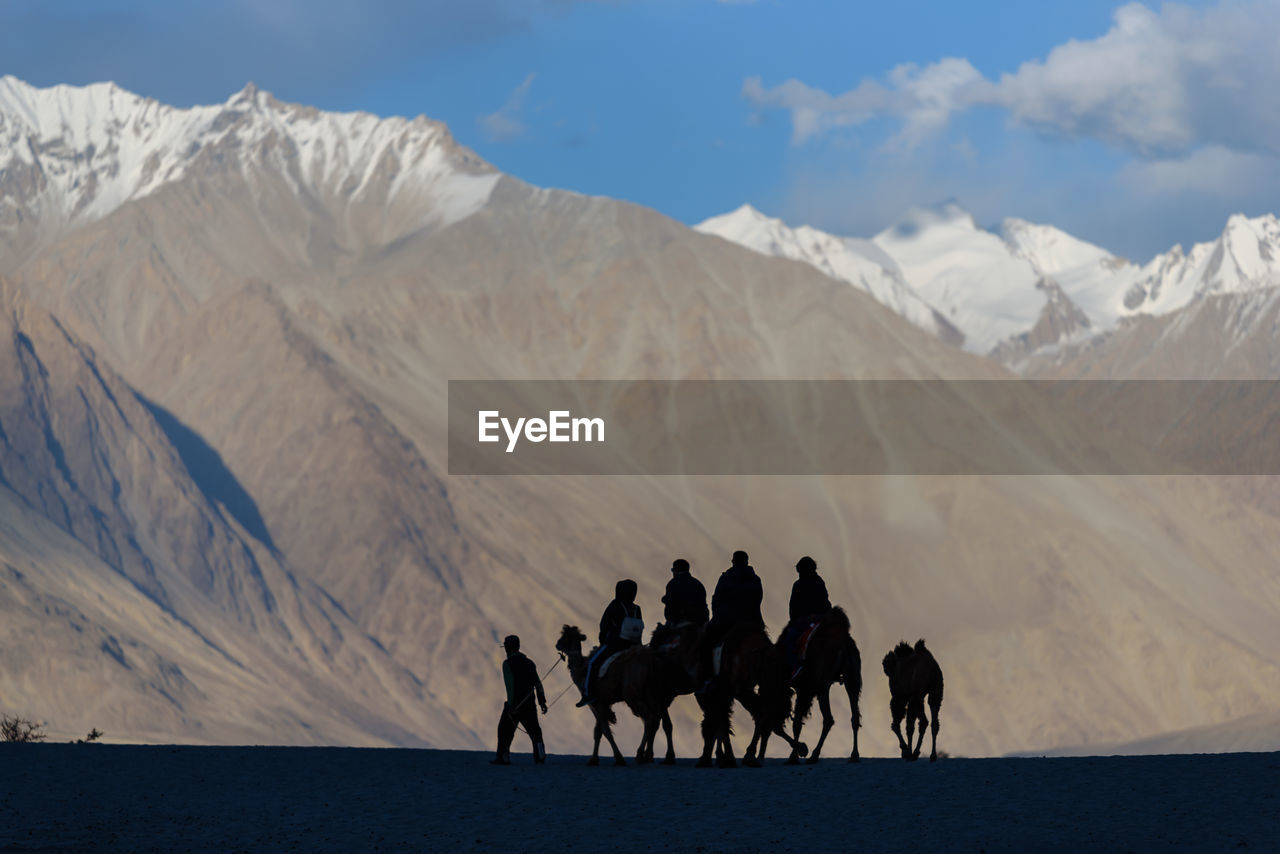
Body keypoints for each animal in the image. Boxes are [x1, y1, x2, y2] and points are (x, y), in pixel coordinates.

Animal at [558, 627, 665, 768]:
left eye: (565, 636)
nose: (557, 644)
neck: (582, 670)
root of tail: (650, 661)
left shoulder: (595, 704)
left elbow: (605, 731)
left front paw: (619, 758)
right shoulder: (602, 703)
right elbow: (598, 732)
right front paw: (593, 759)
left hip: (633, 696)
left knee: (649, 718)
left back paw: (639, 755)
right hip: (651, 693)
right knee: (656, 718)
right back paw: (648, 756)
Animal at [773, 606, 865, 768]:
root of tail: (843, 640)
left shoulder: (803, 689)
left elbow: (797, 723)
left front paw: (796, 755)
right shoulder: (805, 691)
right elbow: (798, 722)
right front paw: (797, 752)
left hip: (823, 684)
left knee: (828, 719)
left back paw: (814, 755)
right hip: (851, 679)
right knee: (854, 717)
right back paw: (854, 755)